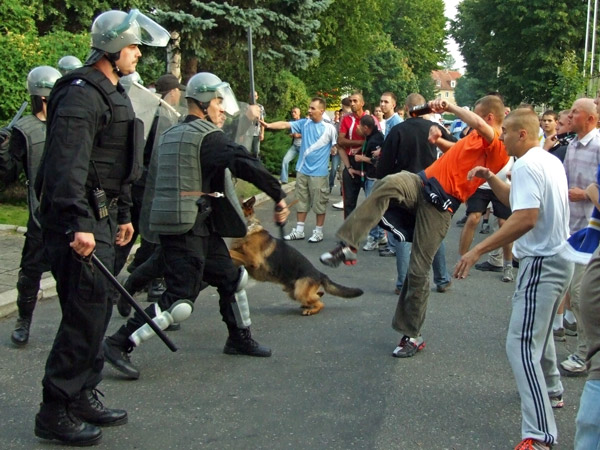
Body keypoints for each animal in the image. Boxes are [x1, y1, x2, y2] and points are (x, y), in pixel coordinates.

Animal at [229, 197, 360, 316]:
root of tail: (319, 274)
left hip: (299, 292)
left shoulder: (252, 259)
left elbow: (232, 252)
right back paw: (307, 305)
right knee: (318, 295)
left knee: (320, 303)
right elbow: (233, 253)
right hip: (294, 293)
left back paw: (310, 310)